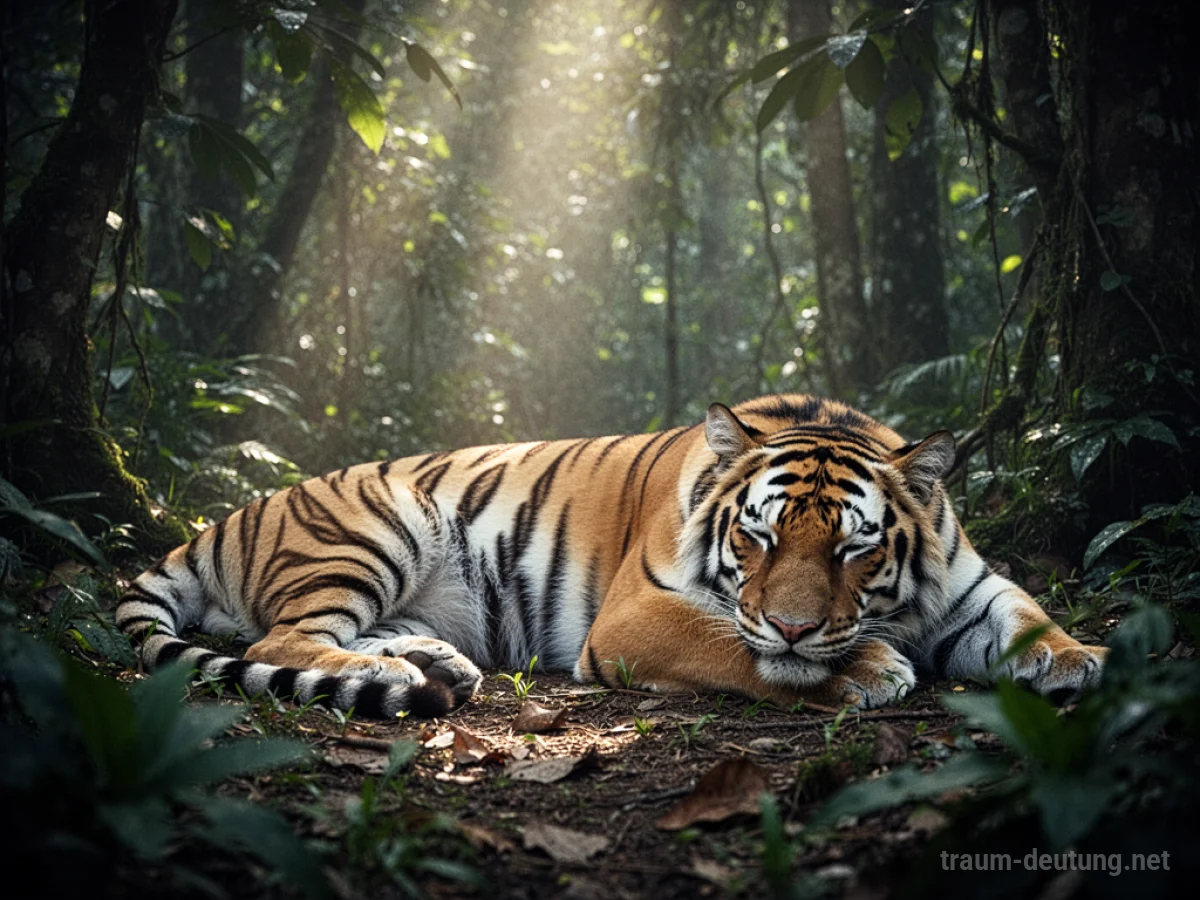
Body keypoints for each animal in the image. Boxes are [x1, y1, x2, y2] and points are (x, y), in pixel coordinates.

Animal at [116, 394, 1107, 718]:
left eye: (856, 547)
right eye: (758, 537)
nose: (795, 625)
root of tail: (219, 520)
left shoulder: (971, 587)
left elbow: (1026, 614)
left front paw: (1081, 660)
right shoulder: (637, 615)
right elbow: (733, 646)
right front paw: (865, 668)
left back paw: (433, 663)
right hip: (376, 530)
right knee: (277, 641)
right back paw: (398, 673)